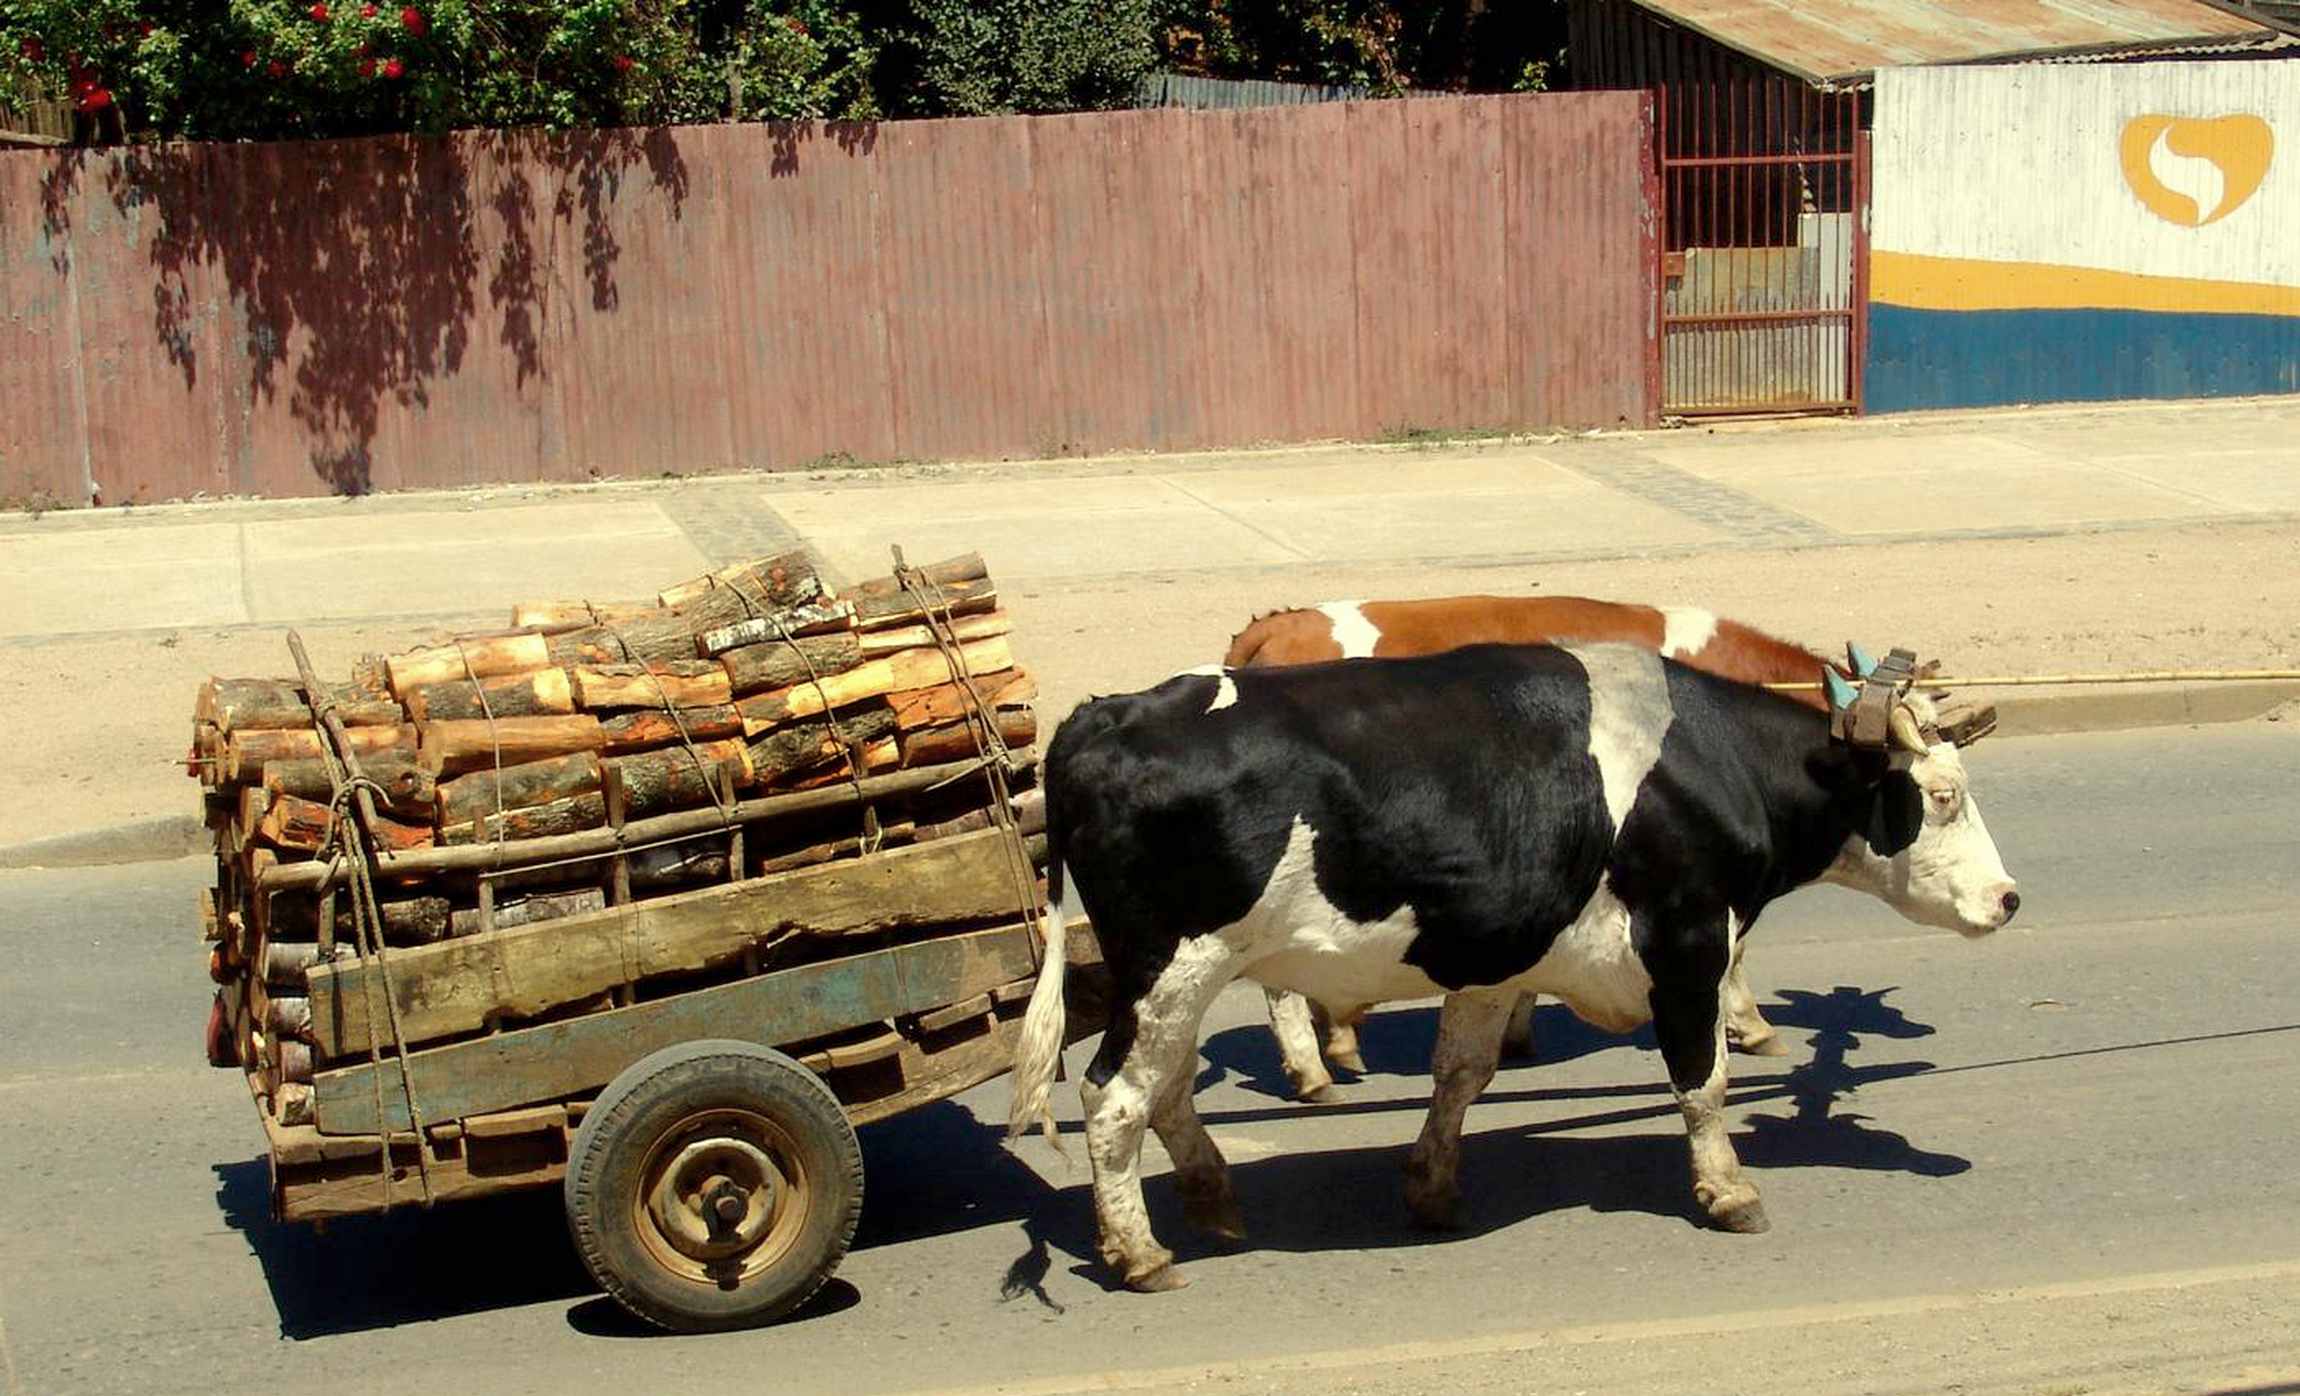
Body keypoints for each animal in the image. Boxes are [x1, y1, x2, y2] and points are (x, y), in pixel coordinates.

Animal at [1224, 596, 1849, 1101]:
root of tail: (1280, 624)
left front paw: (1517, 1028)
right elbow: (1733, 952)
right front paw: (1754, 1026)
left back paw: (1339, 1043)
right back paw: (1313, 1072)